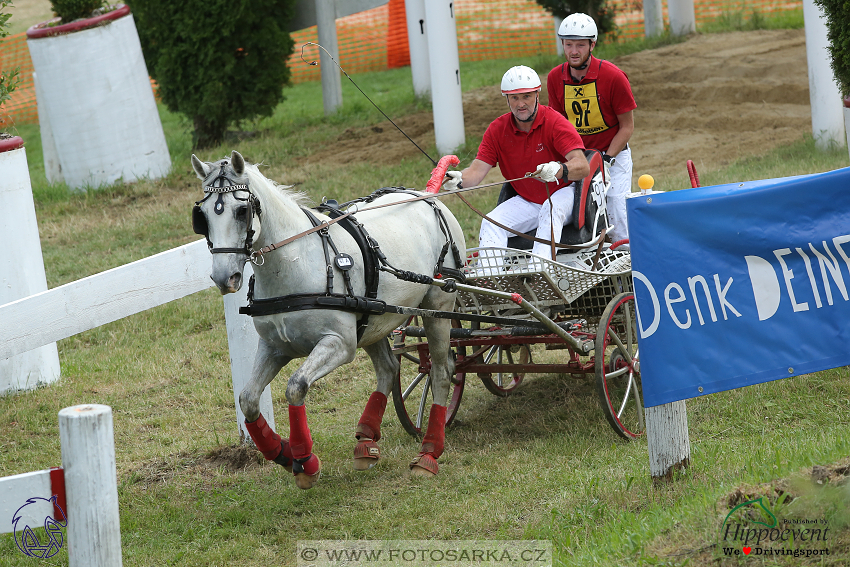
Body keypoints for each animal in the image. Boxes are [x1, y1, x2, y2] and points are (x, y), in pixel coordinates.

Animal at [190, 151, 464, 488]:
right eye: (202, 216)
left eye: (242, 211)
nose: (223, 277)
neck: (296, 262)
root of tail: (425, 196)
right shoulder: (273, 347)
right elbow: (248, 399)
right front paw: (282, 453)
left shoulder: (339, 344)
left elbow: (295, 386)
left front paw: (304, 459)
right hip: (374, 318)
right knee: (388, 368)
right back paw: (366, 440)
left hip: (439, 305)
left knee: (441, 370)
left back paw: (429, 452)